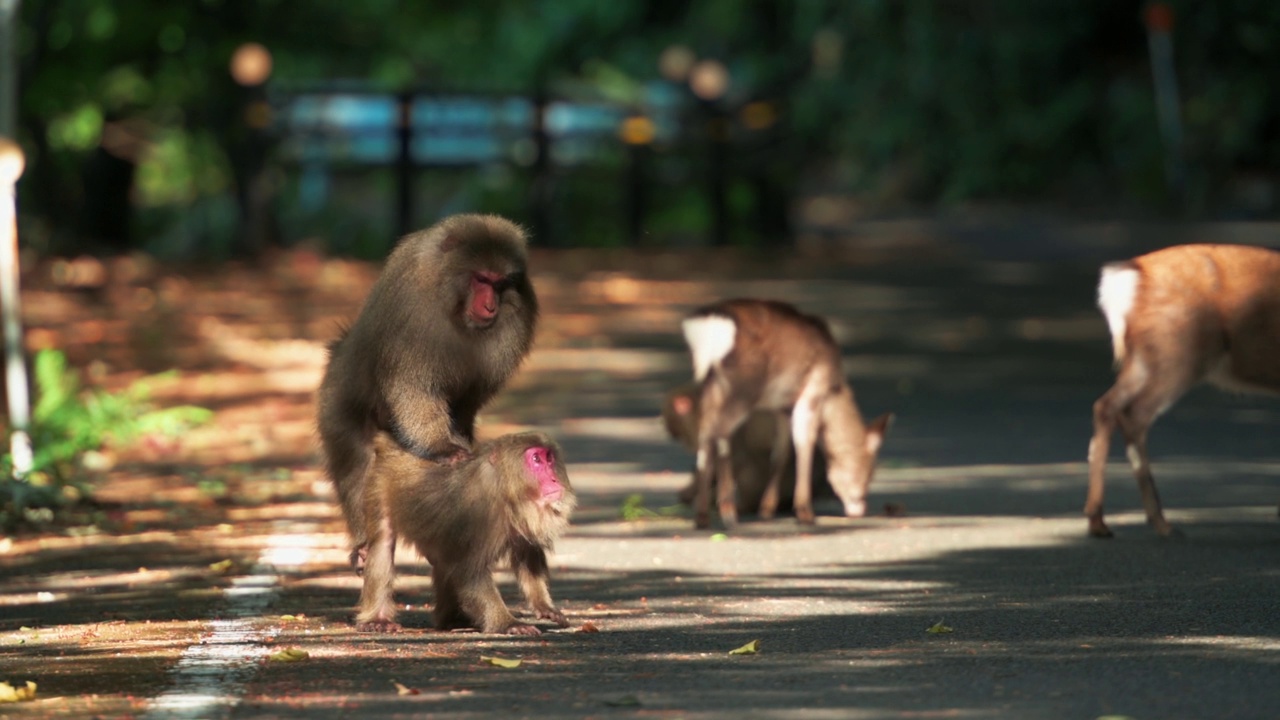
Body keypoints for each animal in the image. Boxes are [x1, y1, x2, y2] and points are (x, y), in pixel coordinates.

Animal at [680, 297, 890, 527]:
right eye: (870, 473)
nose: (860, 510)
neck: (833, 391)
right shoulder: (812, 391)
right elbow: (804, 444)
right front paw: (805, 512)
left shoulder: (781, 407)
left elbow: (781, 452)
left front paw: (767, 509)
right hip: (743, 387)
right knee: (718, 434)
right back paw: (727, 512)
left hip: (713, 386)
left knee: (708, 433)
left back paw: (703, 516)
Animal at [1085, 243, 1280, 535]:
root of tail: (1131, 274)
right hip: (1178, 351)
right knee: (1135, 413)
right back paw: (1160, 523)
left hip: (1145, 358)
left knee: (1106, 406)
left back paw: (1099, 520)